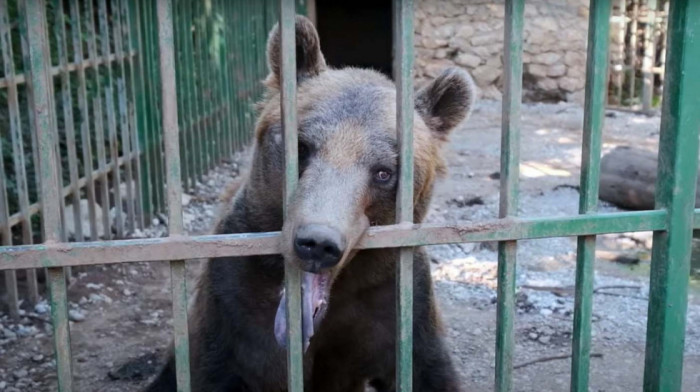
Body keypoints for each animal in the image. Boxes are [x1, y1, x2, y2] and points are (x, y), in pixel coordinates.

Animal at [146, 13, 476, 390]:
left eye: (384, 171)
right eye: (301, 147)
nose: (317, 242)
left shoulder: (397, 305)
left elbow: (427, 370)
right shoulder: (233, 306)